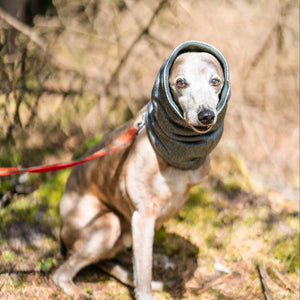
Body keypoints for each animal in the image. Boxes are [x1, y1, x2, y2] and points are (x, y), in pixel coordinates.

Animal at [54, 40, 231, 300]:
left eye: (215, 81)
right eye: (181, 82)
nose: (207, 115)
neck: (178, 155)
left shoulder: (154, 213)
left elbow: (142, 262)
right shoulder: (143, 214)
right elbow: (143, 272)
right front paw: (146, 291)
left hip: (126, 228)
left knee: (120, 255)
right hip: (109, 223)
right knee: (61, 274)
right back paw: (78, 291)